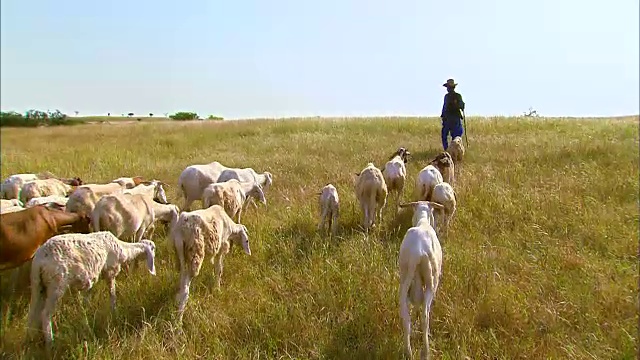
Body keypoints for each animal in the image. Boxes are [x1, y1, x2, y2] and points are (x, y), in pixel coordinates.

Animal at [25, 231, 156, 346]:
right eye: (153, 248)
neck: (124, 249)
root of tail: (39, 261)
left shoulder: (94, 277)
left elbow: (87, 298)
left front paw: (86, 319)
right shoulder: (110, 271)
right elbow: (112, 293)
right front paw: (114, 312)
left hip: (38, 285)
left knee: (32, 314)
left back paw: (29, 340)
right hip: (56, 285)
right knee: (45, 314)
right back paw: (50, 344)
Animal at [396, 201, 444, 358]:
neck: (423, 222)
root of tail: (418, 252)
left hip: (404, 283)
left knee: (406, 318)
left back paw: (408, 352)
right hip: (430, 283)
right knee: (425, 316)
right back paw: (425, 351)